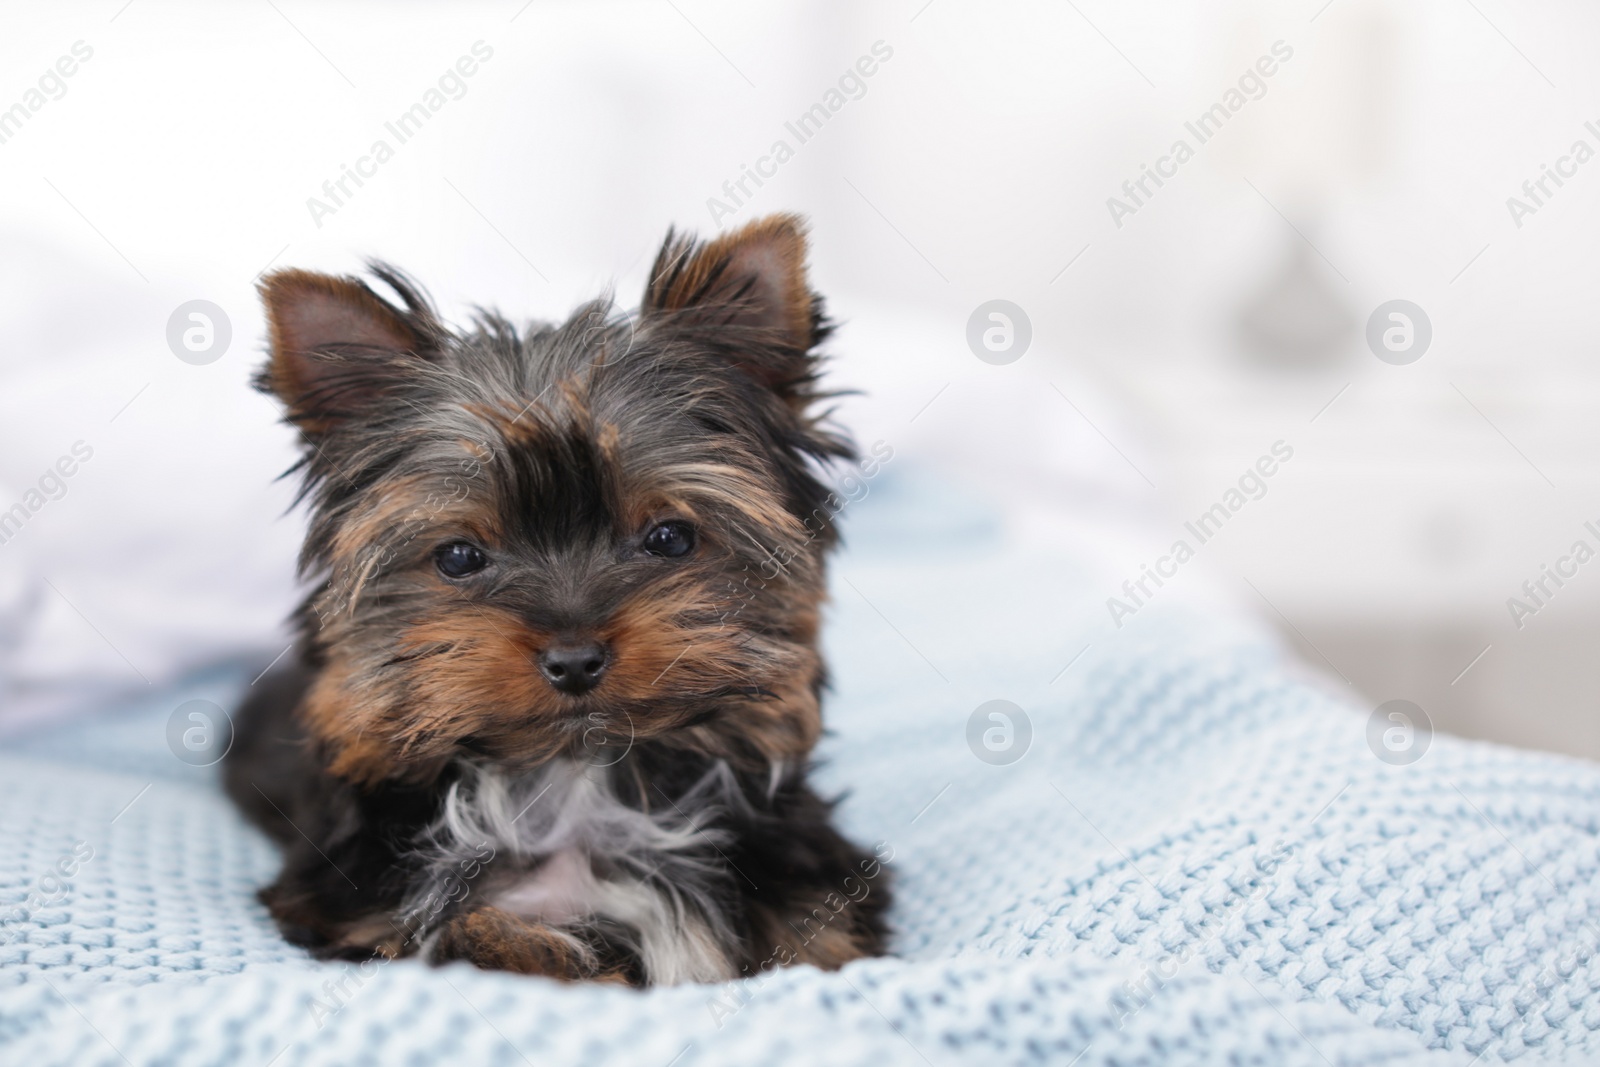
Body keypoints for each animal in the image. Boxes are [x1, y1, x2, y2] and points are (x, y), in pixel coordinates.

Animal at [224, 212, 896, 991]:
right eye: (459, 558)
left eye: (670, 537)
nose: (574, 660)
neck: (576, 779)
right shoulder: (366, 907)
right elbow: (489, 938)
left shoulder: (817, 883)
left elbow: (821, 940)